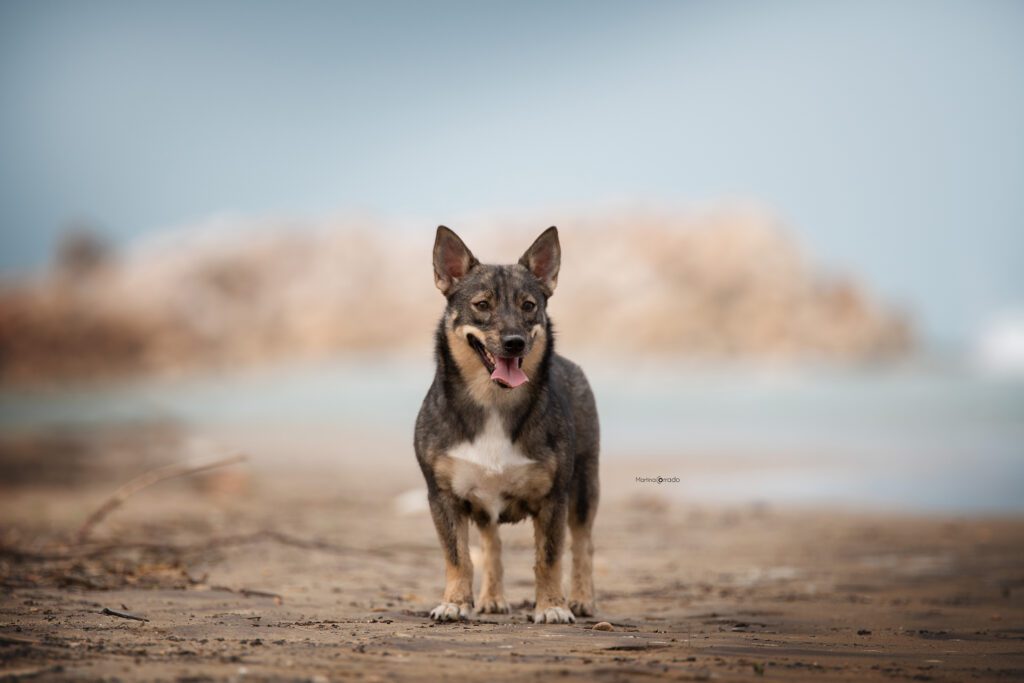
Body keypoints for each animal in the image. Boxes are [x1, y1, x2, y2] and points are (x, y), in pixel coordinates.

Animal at [411, 225, 598, 626]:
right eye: (482, 305)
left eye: (529, 306)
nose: (515, 343)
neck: (494, 403)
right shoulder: (443, 496)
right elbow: (459, 557)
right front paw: (455, 602)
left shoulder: (554, 498)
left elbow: (549, 558)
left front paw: (552, 605)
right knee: (491, 544)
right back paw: (492, 598)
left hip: (584, 488)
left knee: (583, 544)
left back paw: (581, 598)